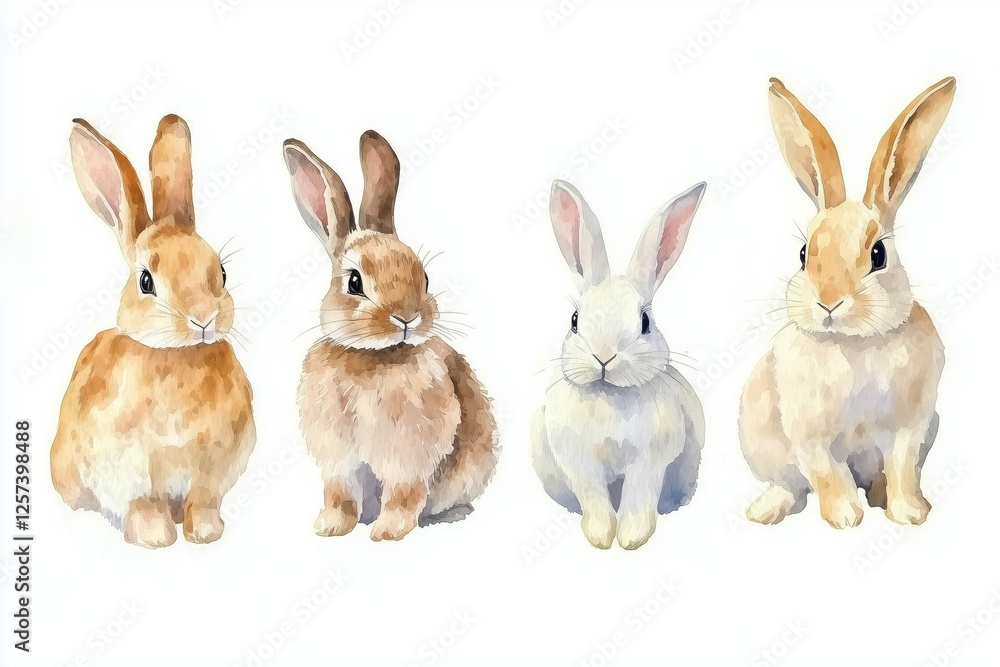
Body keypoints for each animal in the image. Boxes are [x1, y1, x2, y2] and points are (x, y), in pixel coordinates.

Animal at [51, 115, 256, 548]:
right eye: (146, 281)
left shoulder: (211, 473)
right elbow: (144, 503)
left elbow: (203, 501)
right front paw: (155, 538)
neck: (176, 355)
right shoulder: (129, 471)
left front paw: (206, 534)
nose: (203, 318)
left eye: (221, 273)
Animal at [282, 130, 498, 542]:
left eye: (424, 277)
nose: (407, 317)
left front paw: (387, 533)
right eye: (354, 282)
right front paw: (330, 528)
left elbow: (404, 494)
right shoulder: (339, 462)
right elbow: (340, 495)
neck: (372, 355)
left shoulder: (407, 458)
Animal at [531, 180, 707, 550]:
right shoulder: (579, 463)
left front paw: (631, 539)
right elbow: (593, 496)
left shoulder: (650, 461)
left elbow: (639, 495)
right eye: (574, 320)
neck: (609, 395)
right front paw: (600, 537)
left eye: (645, 322)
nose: (604, 356)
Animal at [739, 77, 955, 529]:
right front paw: (844, 519)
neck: (854, 343)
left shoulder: (910, 429)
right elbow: (827, 473)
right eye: (804, 254)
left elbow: (903, 469)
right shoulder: (810, 435)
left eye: (879, 254)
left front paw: (910, 515)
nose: (828, 303)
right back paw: (765, 511)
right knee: (790, 486)